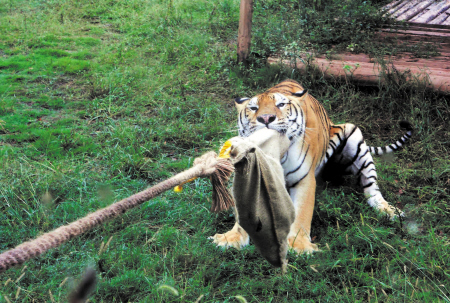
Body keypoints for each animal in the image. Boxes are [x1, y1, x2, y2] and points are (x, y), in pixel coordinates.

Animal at [211, 79, 412, 255]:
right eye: (253, 108)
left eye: (281, 105)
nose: (266, 118)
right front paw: (232, 238)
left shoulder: (304, 180)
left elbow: (302, 212)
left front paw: (299, 245)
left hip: (355, 139)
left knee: (371, 188)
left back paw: (388, 210)